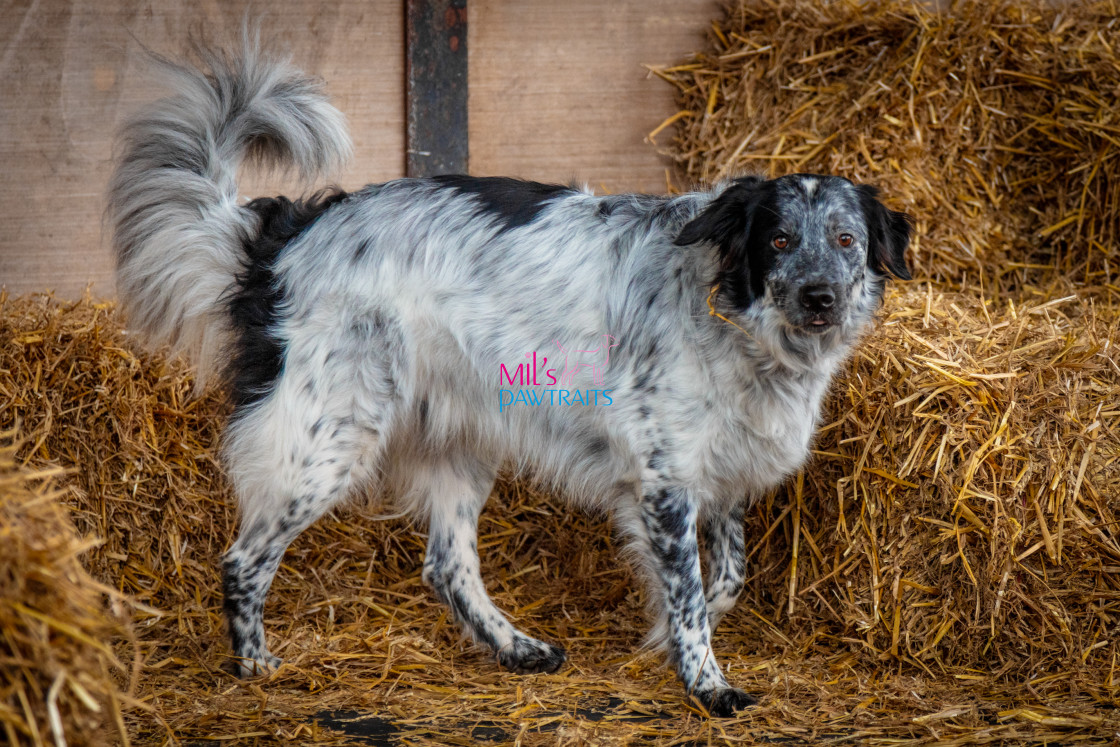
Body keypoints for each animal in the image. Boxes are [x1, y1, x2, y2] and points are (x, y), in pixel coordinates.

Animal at [106, 42, 909, 716]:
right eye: (778, 239)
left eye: (847, 240)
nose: (821, 297)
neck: (735, 319)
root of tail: (289, 232)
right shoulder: (664, 481)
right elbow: (687, 598)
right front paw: (705, 681)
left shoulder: (714, 474)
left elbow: (727, 580)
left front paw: (668, 641)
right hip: (325, 440)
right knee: (244, 559)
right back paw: (255, 665)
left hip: (460, 440)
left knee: (446, 565)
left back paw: (516, 647)